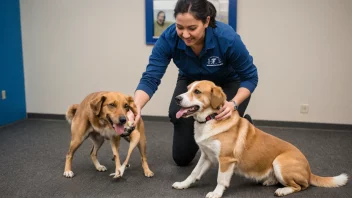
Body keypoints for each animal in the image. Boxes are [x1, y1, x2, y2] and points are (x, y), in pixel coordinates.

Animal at [172, 80, 348, 196]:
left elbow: (221, 180)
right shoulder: (206, 156)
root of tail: (310, 171)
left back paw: (283, 190)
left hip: (280, 162)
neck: (210, 119)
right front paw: (183, 184)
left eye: (197, 92)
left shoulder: (226, 160)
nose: (177, 99)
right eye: (187, 89)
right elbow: (193, 173)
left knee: (301, 186)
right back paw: (270, 181)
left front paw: (216, 193)